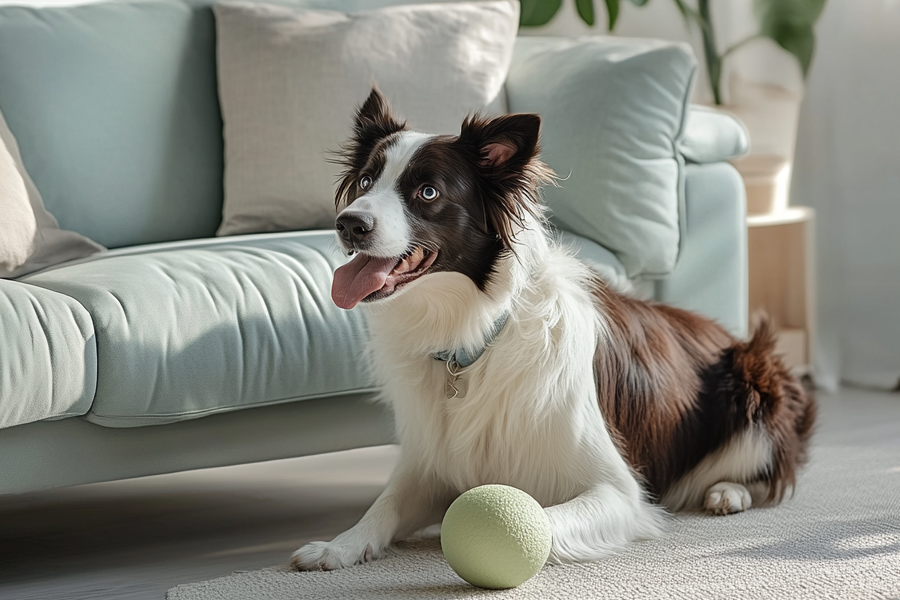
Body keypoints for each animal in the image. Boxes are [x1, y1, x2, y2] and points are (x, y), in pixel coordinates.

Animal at [290, 89, 816, 572]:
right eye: (365, 180)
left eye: (428, 192)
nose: (348, 223)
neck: (475, 337)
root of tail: (727, 334)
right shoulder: (429, 462)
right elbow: (384, 505)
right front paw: (337, 546)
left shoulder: (618, 491)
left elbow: (542, 517)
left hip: (754, 382)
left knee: (774, 470)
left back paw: (728, 492)